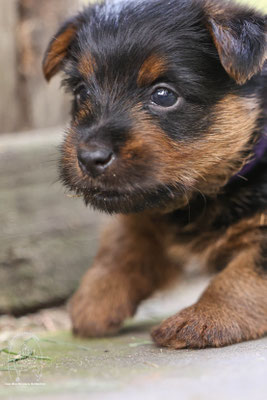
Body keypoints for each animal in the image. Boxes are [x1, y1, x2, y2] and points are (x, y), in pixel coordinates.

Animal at [43, 0, 266, 346]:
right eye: (81, 92)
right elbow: (123, 242)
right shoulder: (145, 208)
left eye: (164, 95)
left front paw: (205, 317)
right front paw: (97, 296)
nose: (90, 157)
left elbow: (243, 275)